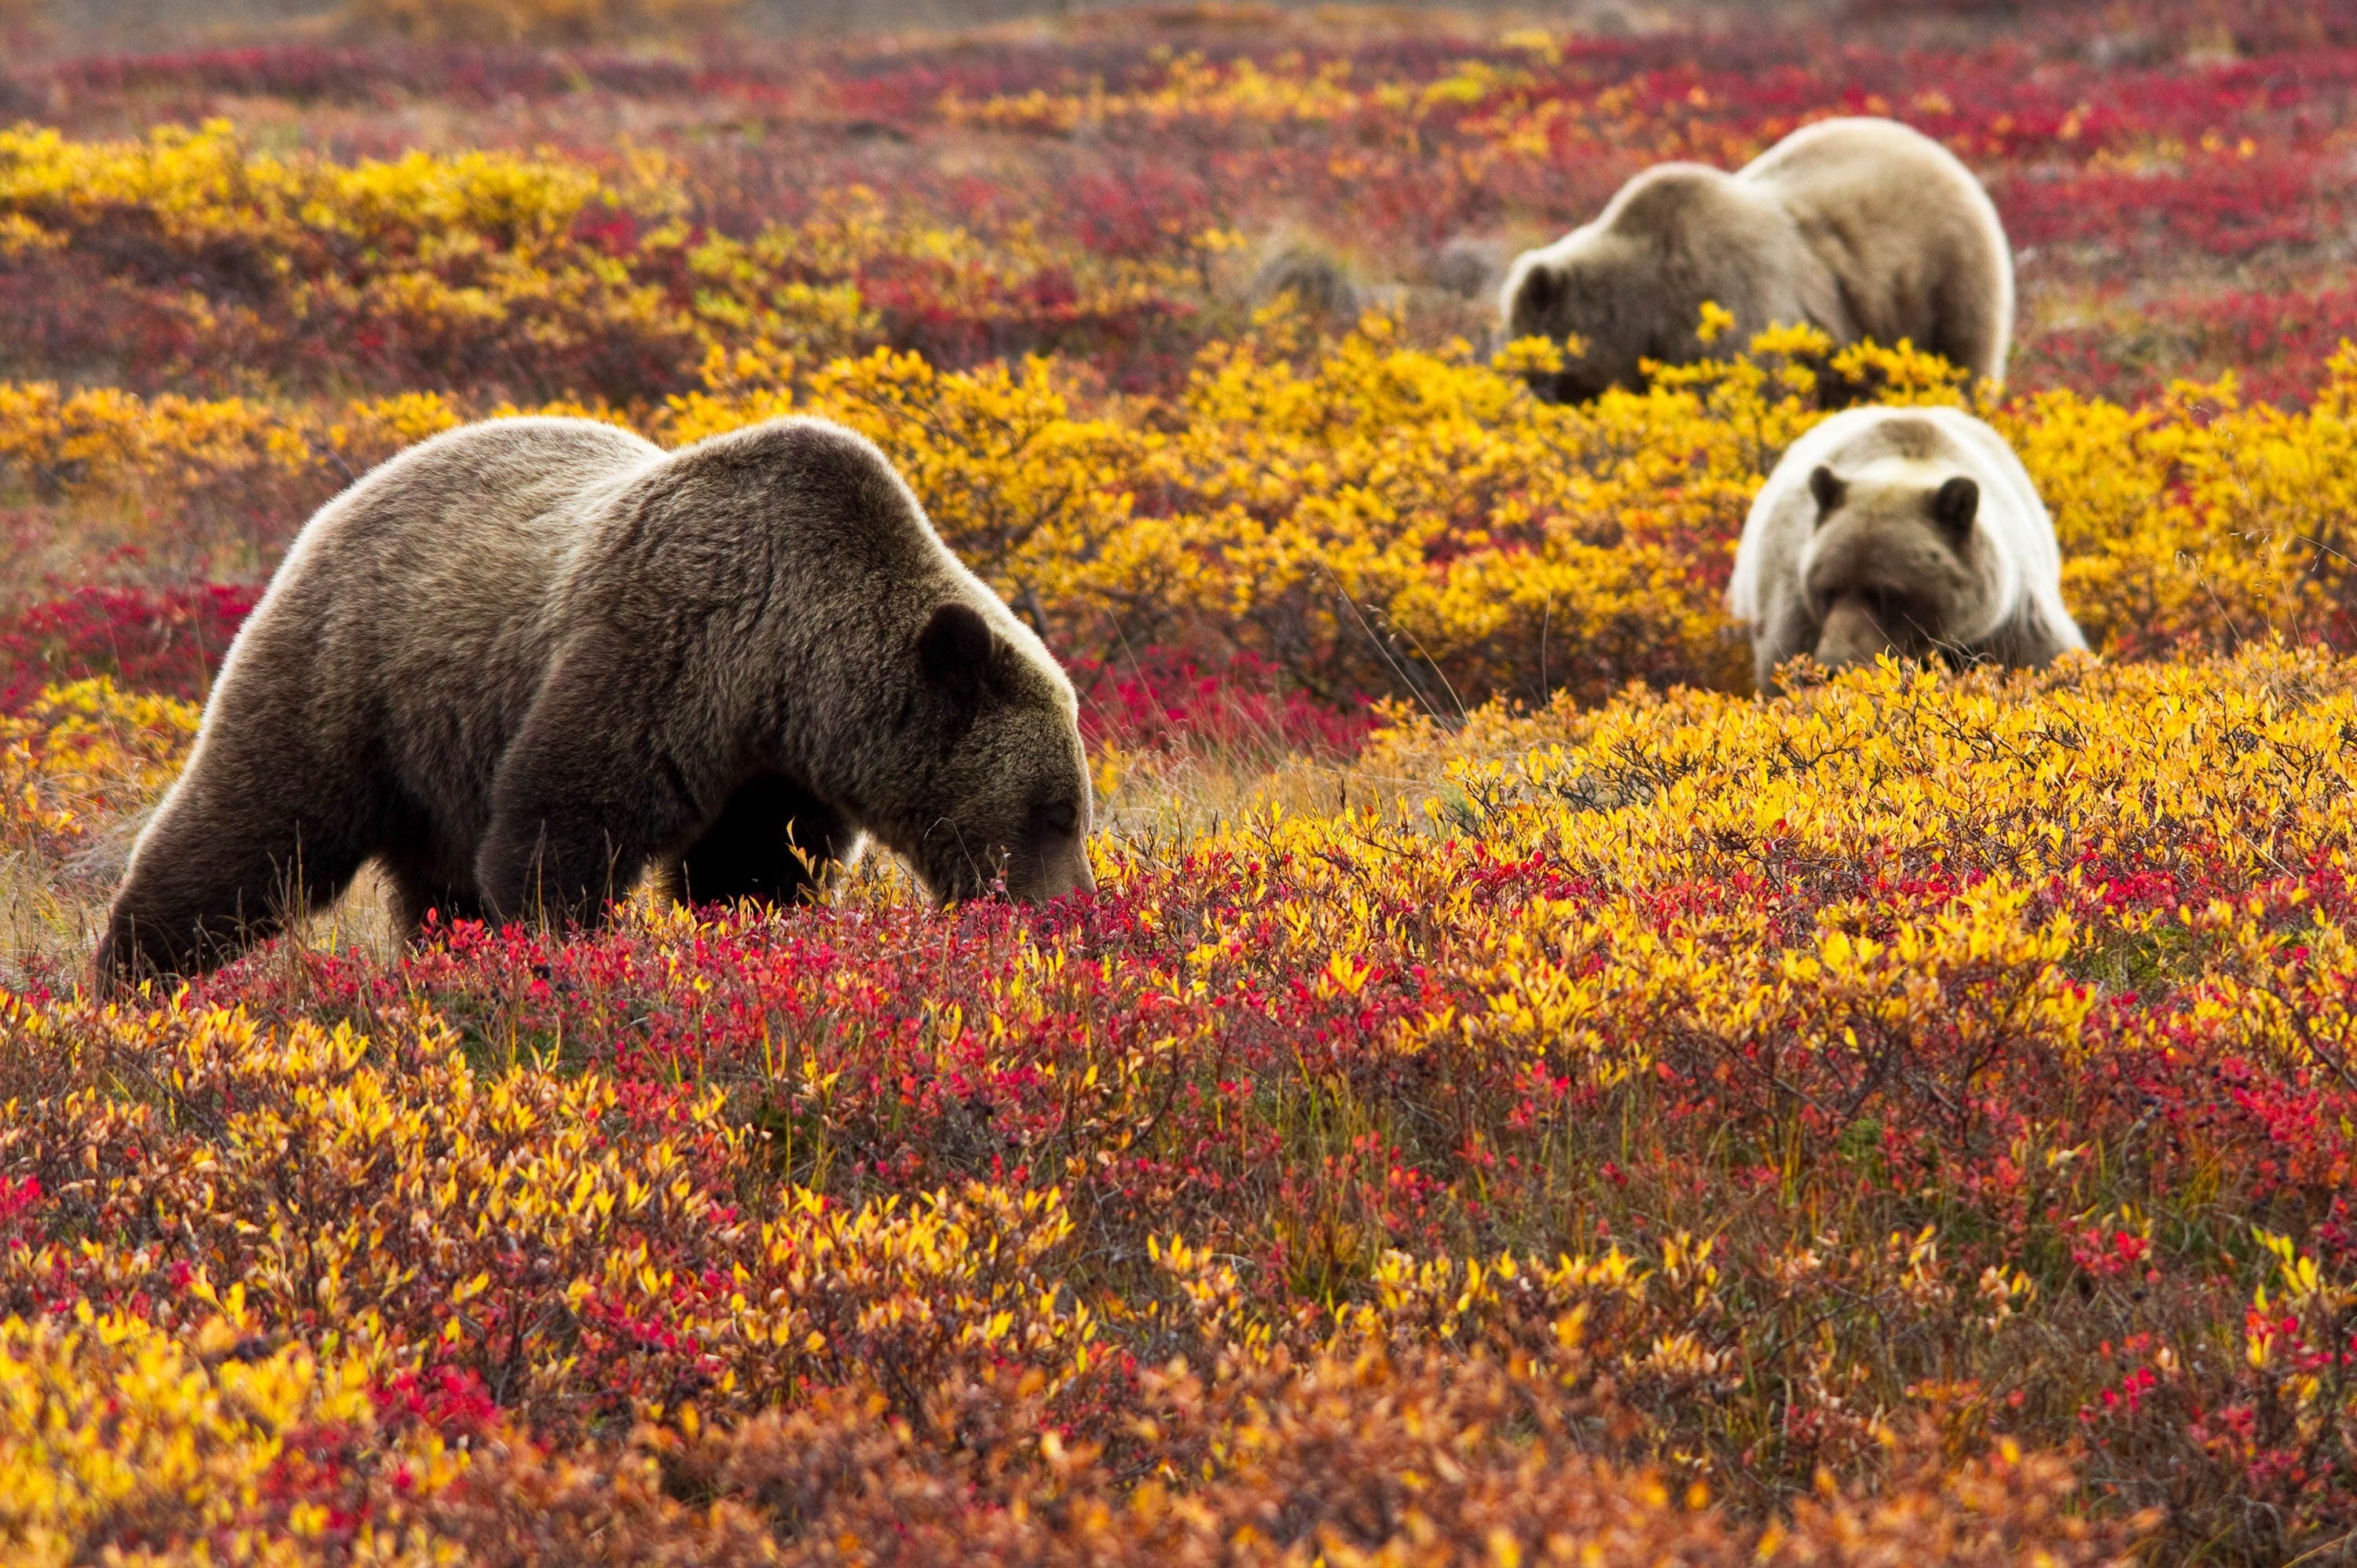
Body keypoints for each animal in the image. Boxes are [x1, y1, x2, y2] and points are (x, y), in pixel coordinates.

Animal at [97, 410, 1108, 985]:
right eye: (1056, 810)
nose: (1068, 918)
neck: (784, 670)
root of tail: (352, 493)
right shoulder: (662, 652)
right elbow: (563, 833)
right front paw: (562, 964)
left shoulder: (773, 773)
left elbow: (750, 877)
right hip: (355, 672)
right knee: (257, 829)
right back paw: (131, 976)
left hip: (436, 758)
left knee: (430, 891)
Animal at [1499, 116, 2018, 398]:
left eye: (1534, 358)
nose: (1538, 395)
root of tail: (1939, 152)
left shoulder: (1731, 303)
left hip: (1943, 282)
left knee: (1962, 363)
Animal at [1725, 403, 2093, 693]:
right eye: (1826, 590)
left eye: (1886, 594)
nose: (1834, 666)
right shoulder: (1793, 606)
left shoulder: (2008, 621)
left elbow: (2046, 659)